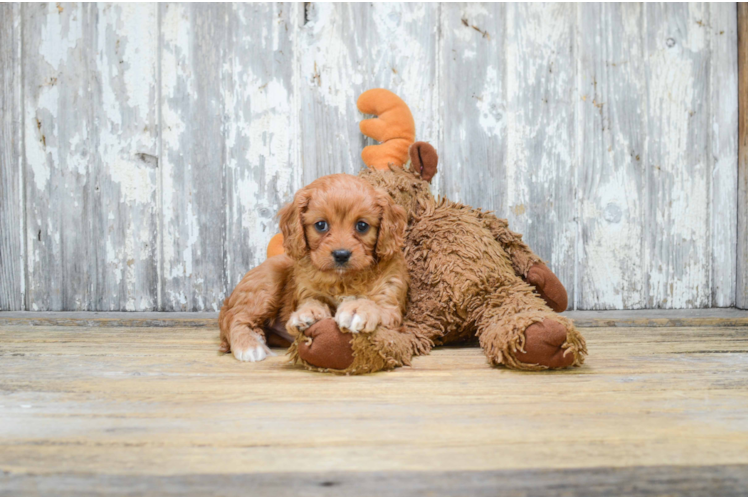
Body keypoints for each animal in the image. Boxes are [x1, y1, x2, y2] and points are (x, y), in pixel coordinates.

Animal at [221, 174, 410, 362]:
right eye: (321, 225)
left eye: (362, 226)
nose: (341, 255)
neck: (343, 279)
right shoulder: (307, 292)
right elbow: (313, 301)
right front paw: (307, 313)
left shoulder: (391, 306)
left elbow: (375, 305)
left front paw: (357, 309)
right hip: (266, 284)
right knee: (234, 317)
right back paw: (249, 345)